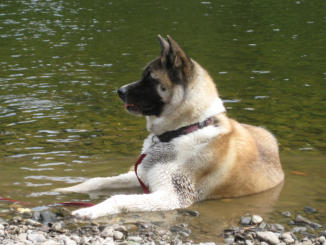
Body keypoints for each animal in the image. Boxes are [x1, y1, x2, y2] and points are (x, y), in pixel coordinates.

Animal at [54, 35, 284, 219]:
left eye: (150, 78)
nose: (120, 91)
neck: (183, 129)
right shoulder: (143, 175)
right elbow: (98, 180)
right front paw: (65, 189)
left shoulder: (172, 196)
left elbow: (119, 198)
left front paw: (91, 210)